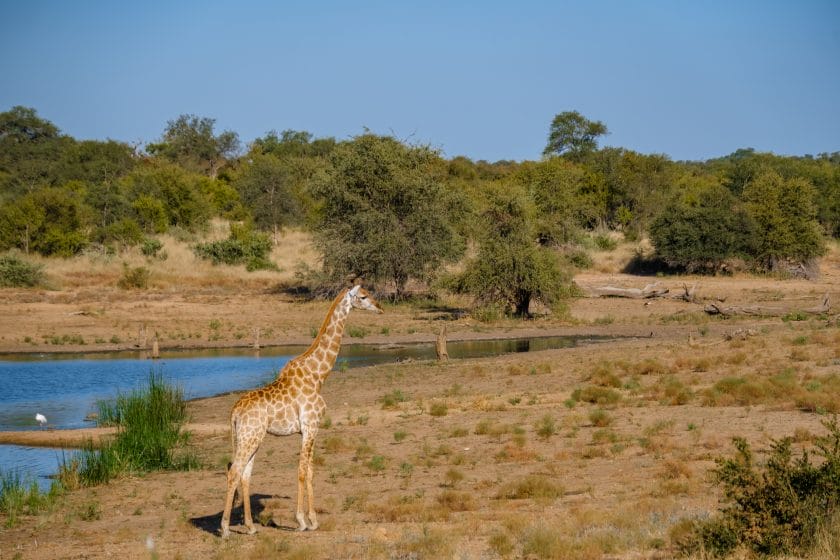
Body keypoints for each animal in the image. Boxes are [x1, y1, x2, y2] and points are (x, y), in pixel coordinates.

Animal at [220, 286, 384, 536]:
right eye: (363, 296)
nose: (380, 307)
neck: (318, 375)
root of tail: (234, 412)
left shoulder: (312, 430)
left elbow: (311, 470)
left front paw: (314, 520)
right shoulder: (310, 426)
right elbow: (302, 471)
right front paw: (301, 521)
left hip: (250, 437)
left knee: (244, 474)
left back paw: (250, 527)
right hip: (250, 437)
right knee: (233, 472)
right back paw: (225, 529)